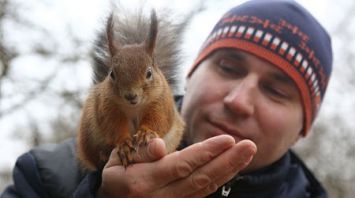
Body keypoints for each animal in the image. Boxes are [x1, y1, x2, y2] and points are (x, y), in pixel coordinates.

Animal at [76, 8, 188, 170]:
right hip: (89, 134)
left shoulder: (161, 103)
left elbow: (158, 120)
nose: (131, 96)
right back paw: (104, 154)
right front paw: (123, 145)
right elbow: (114, 126)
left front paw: (146, 133)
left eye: (149, 73)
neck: (134, 107)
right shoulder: (108, 107)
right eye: (112, 74)